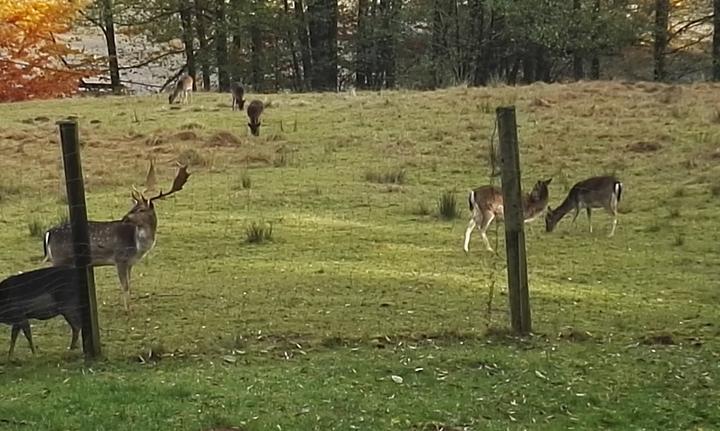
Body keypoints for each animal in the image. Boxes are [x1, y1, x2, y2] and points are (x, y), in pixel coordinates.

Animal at [41, 160, 190, 312]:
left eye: (141, 209)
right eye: (133, 208)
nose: (124, 218)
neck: (137, 245)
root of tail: (48, 233)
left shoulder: (130, 262)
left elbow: (129, 285)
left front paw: (130, 307)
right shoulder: (120, 259)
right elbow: (125, 286)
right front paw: (127, 310)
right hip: (61, 258)